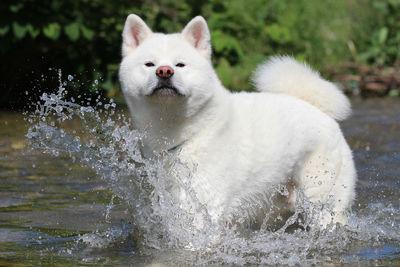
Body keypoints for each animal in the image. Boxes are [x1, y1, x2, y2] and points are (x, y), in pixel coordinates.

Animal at [118, 14, 356, 229]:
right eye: (149, 64)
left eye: (181, 64)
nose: (164, 71)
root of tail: (319, 110)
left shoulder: (206, 206)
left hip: (321, 202)